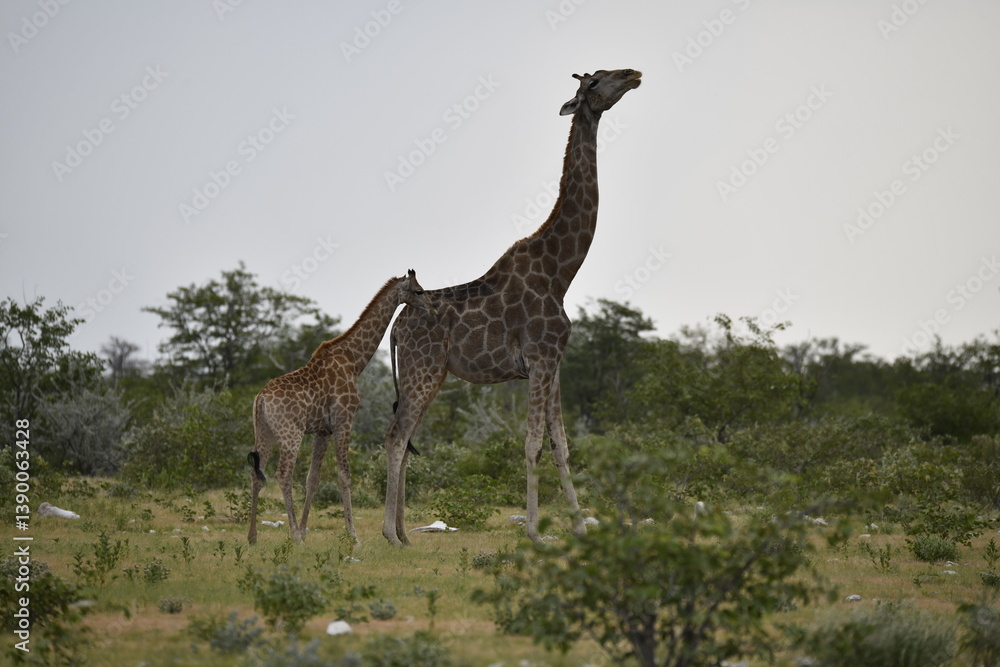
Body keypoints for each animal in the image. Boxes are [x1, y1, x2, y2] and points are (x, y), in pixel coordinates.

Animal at [246, 270, 434, 545]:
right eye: (419, 290)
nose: (431, 307)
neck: (354, 361)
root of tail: (260, 399)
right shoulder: (345, 419)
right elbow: (344, 475)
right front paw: (352, 536)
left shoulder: (323, 430)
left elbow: (313, 478)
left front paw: (306, 529)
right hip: (291, 433)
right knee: (282, 474)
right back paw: (293, 536)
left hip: (265, 432)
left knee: (257, 473)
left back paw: (253, 537)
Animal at [381, 68, 642, 546]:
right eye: (596, 82)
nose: (633, 74)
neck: (560, 272)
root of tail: (395, 328)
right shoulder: (539, 357)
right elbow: (533, 443)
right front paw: (537, 533)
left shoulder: (554, 361)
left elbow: (562, 444)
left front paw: (579, 527)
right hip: (422, 370)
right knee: (395, 437)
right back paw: (390, 534)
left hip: (427, 374)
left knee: (405, 439)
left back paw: (406, 534)